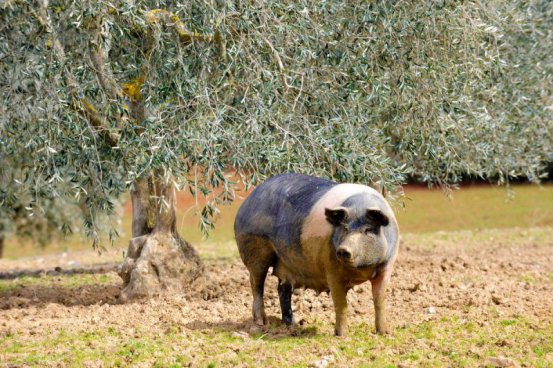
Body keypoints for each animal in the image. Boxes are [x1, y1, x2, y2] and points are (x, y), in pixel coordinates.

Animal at [232, 173, 396, 336]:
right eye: (344, 228)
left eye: (368, 230)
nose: (343, 249)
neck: (361, 269)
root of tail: (249, 199)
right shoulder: (331, 269)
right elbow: (341, 303)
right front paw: (342, 336)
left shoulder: (387, 267)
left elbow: (380, 299)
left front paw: (384, 333)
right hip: (254, 249)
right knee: (256, 283)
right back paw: (262, 322)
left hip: (286, 262)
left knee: (283, 289)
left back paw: (292, 324)